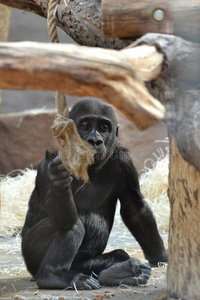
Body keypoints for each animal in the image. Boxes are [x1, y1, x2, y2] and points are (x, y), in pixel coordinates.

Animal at [21, 97, 167, 290]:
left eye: (104, 128)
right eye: (85, 126)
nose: (95, 140)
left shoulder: (124, 163)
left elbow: (135, 210)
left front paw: (161, 257)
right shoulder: (47, 165)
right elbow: (63, 220)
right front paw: (58, 180)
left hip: (82, 264)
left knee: (115, 255)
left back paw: (120, 273)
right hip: (29, 255)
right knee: (73, 225)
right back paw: (52, 276)